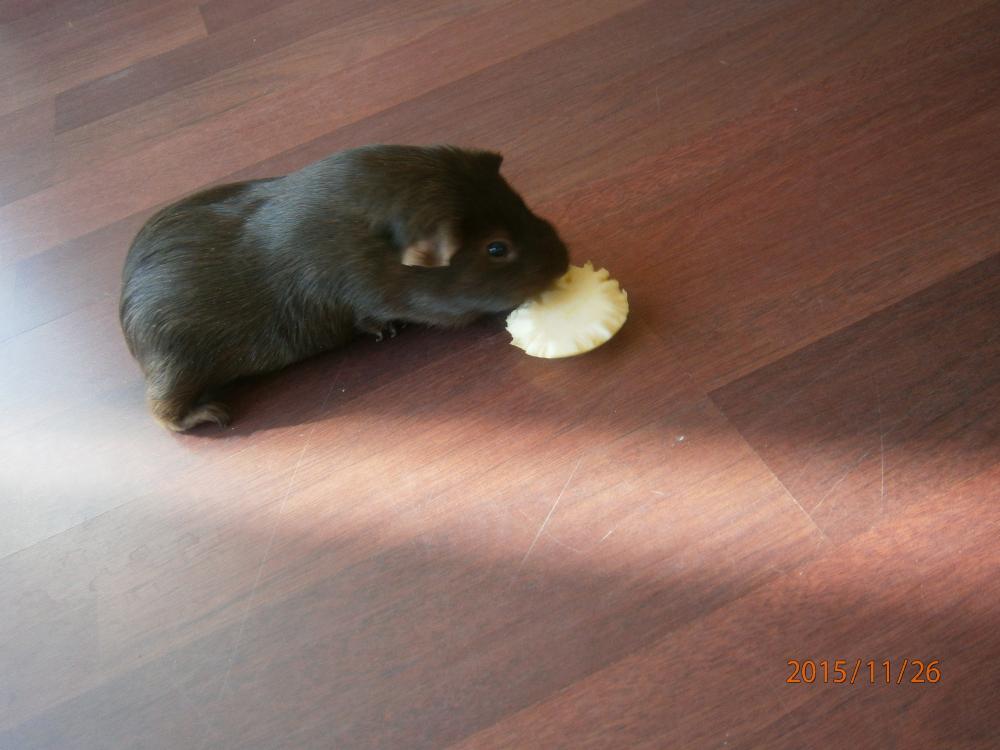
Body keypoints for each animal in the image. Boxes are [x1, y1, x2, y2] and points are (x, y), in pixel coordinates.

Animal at [119, 144, 570, 432]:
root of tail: (128, 312)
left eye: (521, 204)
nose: (564, 260)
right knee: (163, 411)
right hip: (180, 366)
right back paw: (212, 415)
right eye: (496, 248)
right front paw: (386, 330)